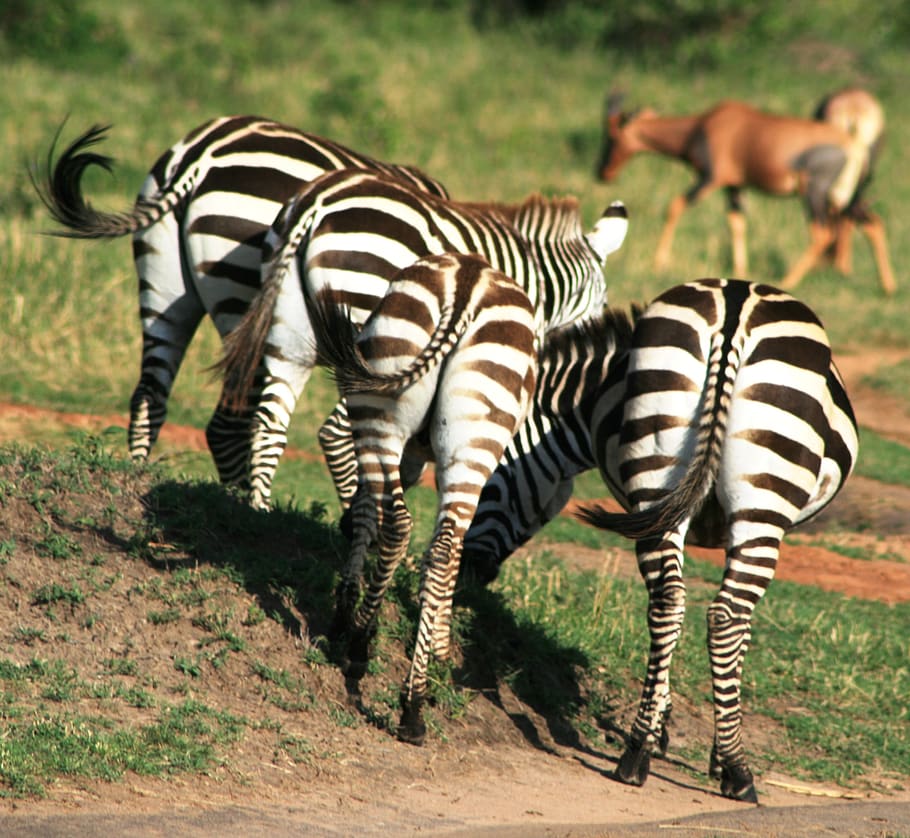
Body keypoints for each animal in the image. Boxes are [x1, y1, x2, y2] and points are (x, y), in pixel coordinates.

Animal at [32, 115, 450, 487]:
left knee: (153, 394)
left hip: (164, 287)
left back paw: (140, 476)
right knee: (233, 424)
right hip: (246, 300)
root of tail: (199, 154)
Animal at [217, 166, 629, 510]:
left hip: (291, 330)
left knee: (270, 421)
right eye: (604, 303)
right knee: (338, 434)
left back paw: (259, 511)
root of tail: (315, 203)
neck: (543, 284)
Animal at [308, 251, 539, 747]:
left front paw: (347, 615)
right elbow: (438, 552)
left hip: (389, 418)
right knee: (432, 538)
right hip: (457, 433)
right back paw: (397, 688)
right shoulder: (419, 455)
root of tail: (468, 278)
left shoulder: (413, 454)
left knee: (406, 526)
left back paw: (373, 660)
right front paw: (437, 655)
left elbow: (371, 512)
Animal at [462, 278, 858, 802]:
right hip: (759, 506)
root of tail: (734, 309)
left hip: (659, 475)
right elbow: (740, 634)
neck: (592, 397)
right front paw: (712, 750)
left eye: (487, 482)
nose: (465, 573)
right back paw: (736, 772)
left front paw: (663, 726)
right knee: (723, 615)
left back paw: (636, 755)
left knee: (669, 603)